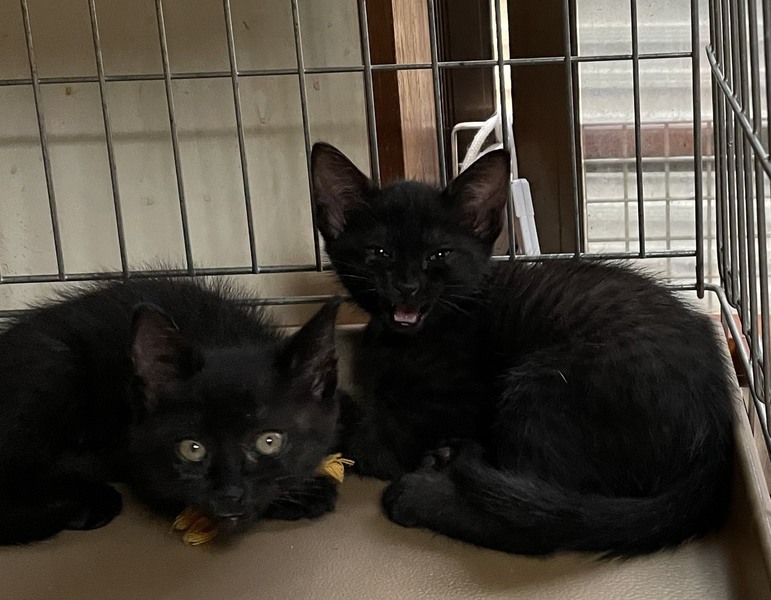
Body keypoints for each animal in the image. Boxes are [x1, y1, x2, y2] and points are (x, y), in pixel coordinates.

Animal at [0, 278, 341, 545]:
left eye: (269, 441)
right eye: (192, 448)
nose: (229, 494)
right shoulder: (139, 457)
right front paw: (308, 493)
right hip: (56, 365)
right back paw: (86, 503)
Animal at [311, 142, 735, 556]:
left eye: (439, 255)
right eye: (379, 252)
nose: (407, 286)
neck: (405, 341)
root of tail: (715, 443)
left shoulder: (456, 407)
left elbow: (371, 438)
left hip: (545, 382)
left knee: (534, 527)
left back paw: (421, 493)